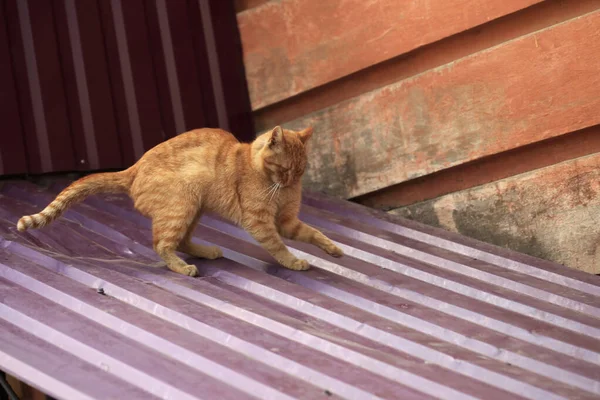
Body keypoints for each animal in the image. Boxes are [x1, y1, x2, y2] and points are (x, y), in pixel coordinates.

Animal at [17, 126, 342, 276]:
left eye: (301, 171)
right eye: (286, 170)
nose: (291, 182)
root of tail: (132, 169)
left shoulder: (287, 221)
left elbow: (314, 233)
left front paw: (334, 251)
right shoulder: (261, 222)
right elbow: (279, 247)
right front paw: (294, 262)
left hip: (194, 208)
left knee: (182, 241)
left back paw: (206, 252)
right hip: (183, 204)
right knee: (162, 244)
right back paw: (184, 268)